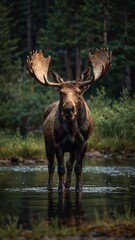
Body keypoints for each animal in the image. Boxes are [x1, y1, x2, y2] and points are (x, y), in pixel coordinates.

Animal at [26, 48, 112, 191]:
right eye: (61, 93)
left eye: (79, 92)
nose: (68, 109)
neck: (72, 130)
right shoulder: (57, 143)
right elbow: (60, 168)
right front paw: (60, 188)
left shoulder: (83, 143)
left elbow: (78, 167)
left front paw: (78, 188)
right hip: (47, 143)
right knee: (51, 166)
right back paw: (51, 187)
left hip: (71, 148)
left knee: (69, 164)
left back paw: (68, 185)